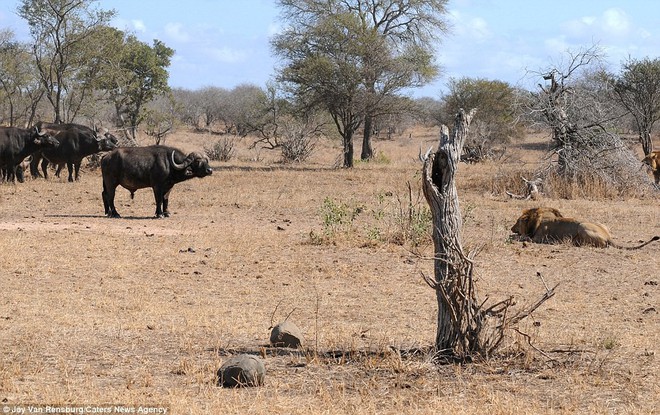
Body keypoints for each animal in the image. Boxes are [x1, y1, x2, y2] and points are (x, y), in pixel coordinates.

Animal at [510, 208, 660, 250]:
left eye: (517, 221)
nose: (511, 228)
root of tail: (608, 236)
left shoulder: (538, 239)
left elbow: (521, 237)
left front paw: (513, 236)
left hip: (582, 226)